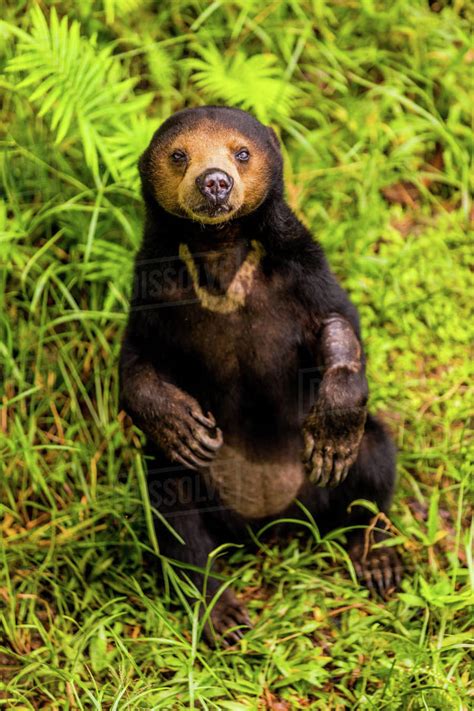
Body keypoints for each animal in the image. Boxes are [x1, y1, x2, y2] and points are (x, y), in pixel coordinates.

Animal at [120, 105, 402, 644]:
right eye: (179, 155)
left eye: (242, 152)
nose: (214, 182)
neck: (220, 251)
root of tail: (272, 519)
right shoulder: (153, 290)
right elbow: (136, 363)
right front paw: (181, 426)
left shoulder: (303, 270)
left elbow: (338, 325)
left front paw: (333, 429)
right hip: (199, 484)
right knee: (173, 506)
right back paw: (222, 613)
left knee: (374, 459)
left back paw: (376, 561)